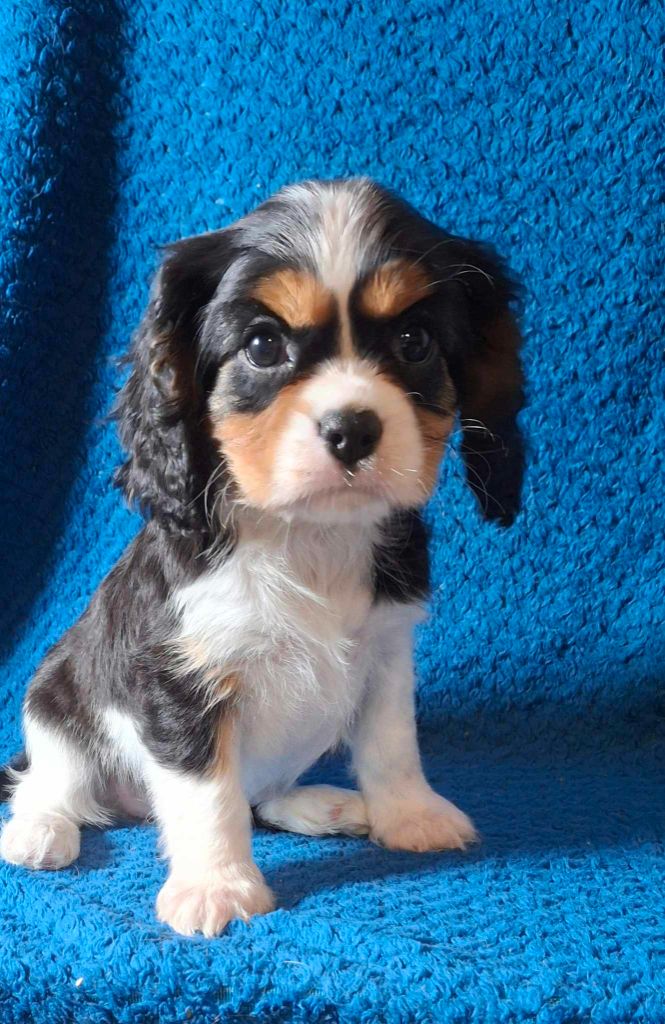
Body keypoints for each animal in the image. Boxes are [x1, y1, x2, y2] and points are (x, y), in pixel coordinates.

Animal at [0, 179, 524, 936]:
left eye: (414, 341)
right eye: (263, 345)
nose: (352, 428)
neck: (306, 535)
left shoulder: (387, 654)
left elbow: (392, 745)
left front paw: (410, 816)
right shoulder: (181, 680)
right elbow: (207, 794)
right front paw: (217, 885)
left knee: (261, 793)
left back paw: (317, 803)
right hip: (56, 702)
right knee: (50, 781)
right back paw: (39, 830)